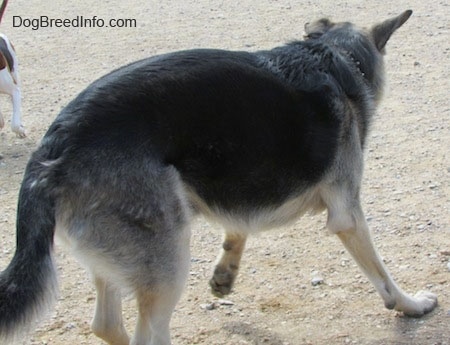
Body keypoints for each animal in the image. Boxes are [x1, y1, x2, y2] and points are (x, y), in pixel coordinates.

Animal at [0, 10, 436, 344]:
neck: (335, 55)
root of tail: (51, 151)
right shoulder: (348, 213)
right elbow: (383, 276)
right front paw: (411, 304)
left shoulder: (241, 189)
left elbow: (237, 227)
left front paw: (225, 273)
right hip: (168, 258)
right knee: (146, 333)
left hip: (119, 256)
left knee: (106, 325)